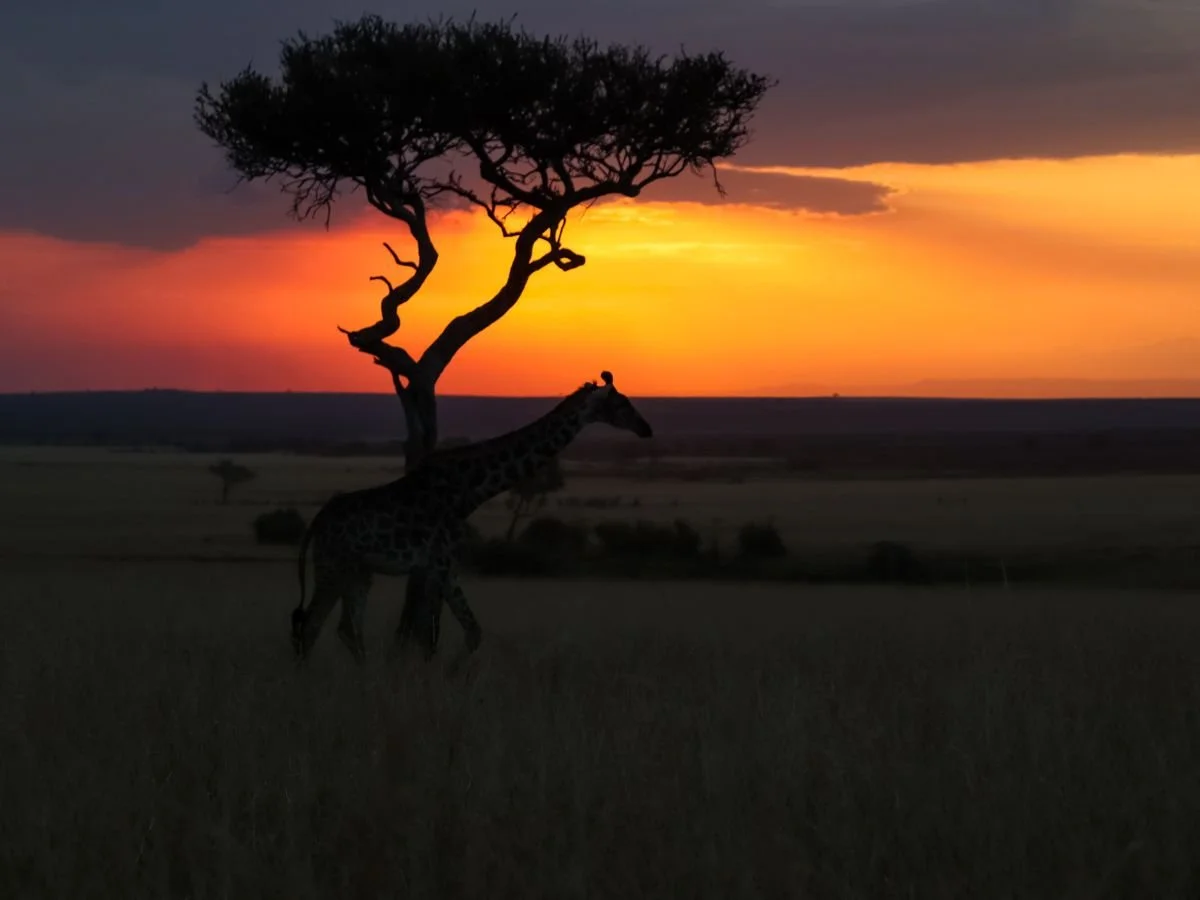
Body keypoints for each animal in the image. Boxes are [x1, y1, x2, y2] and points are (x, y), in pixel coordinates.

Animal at [291, 371, 654, 663]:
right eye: (621, 404)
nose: (646, 428)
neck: (470, 491)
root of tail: (317, 522)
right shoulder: (438, 563)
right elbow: (431, 636)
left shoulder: (445, 567)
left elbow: (470, 632)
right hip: (332, 566)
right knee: (310, 625)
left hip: (358, 572)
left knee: (345, 629)